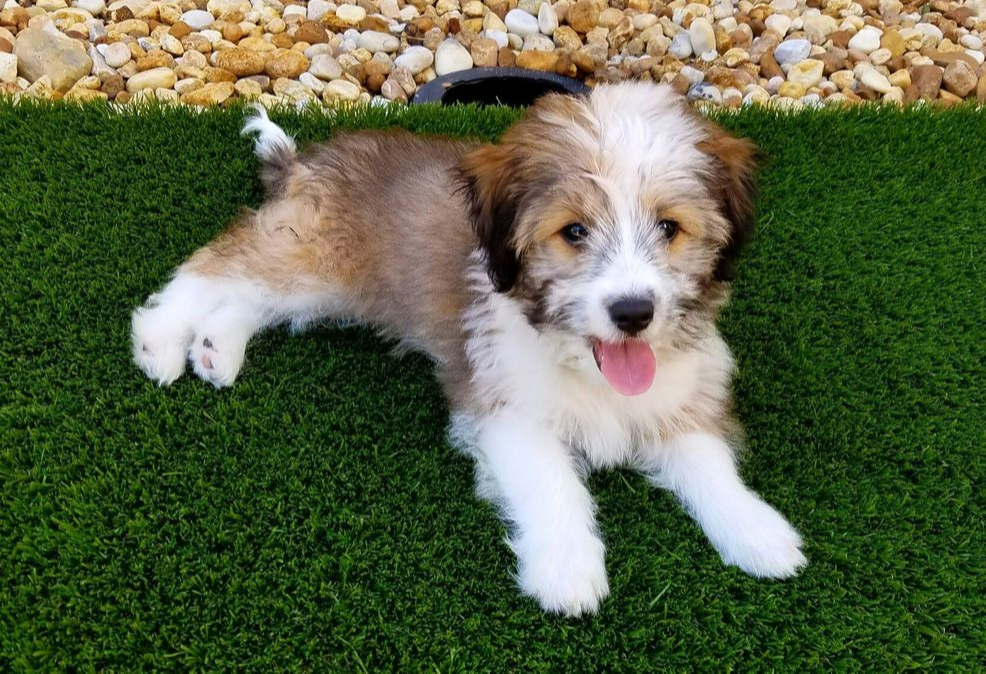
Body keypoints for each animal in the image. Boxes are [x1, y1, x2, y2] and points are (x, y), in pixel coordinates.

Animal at [133, 82, 808, 616]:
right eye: (574, 232)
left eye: (670, 227)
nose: (634, 313)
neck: (584, 364)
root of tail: (306, 160)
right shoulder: (504, 410)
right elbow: (553, 484)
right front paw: (566, 571)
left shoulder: (680, 396)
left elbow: (708, 461)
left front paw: (758, 532)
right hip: (310, 254)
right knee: (216, 268)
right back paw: (159, 341)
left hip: (333, 289)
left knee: (253, 299)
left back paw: (216, 347)